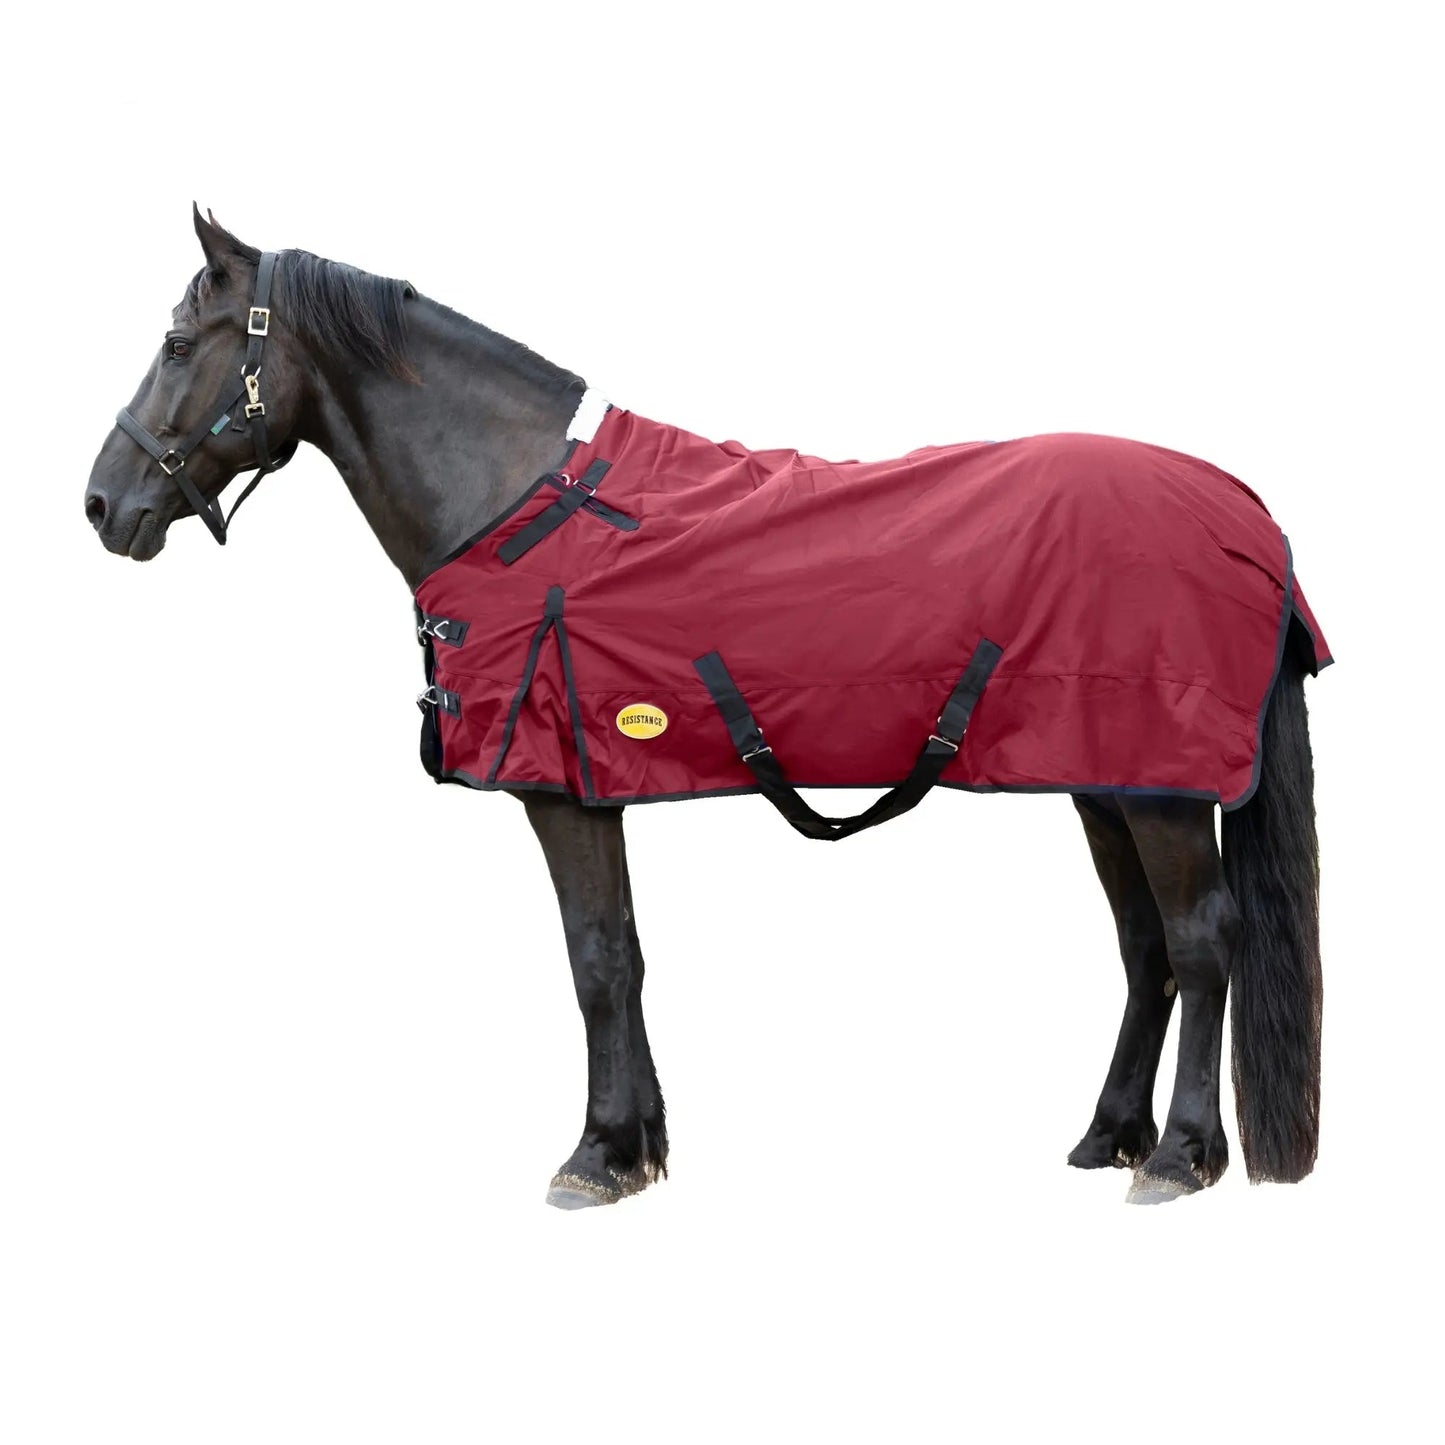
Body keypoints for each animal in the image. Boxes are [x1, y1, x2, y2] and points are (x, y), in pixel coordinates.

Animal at [85, 207, 1327, 1207]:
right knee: (1143, 944)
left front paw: (593, 1154)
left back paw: (1177, 1154)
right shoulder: (595, 787)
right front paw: (638, 1144)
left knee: (1200, 941)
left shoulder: (558, 790)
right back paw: (1106, 1134)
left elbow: (592, 958)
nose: (101, 502)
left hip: (1161, 790)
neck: (513, 503)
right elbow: (625, 954)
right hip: (1105, 779)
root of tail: (1243, 511)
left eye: (177, 344)